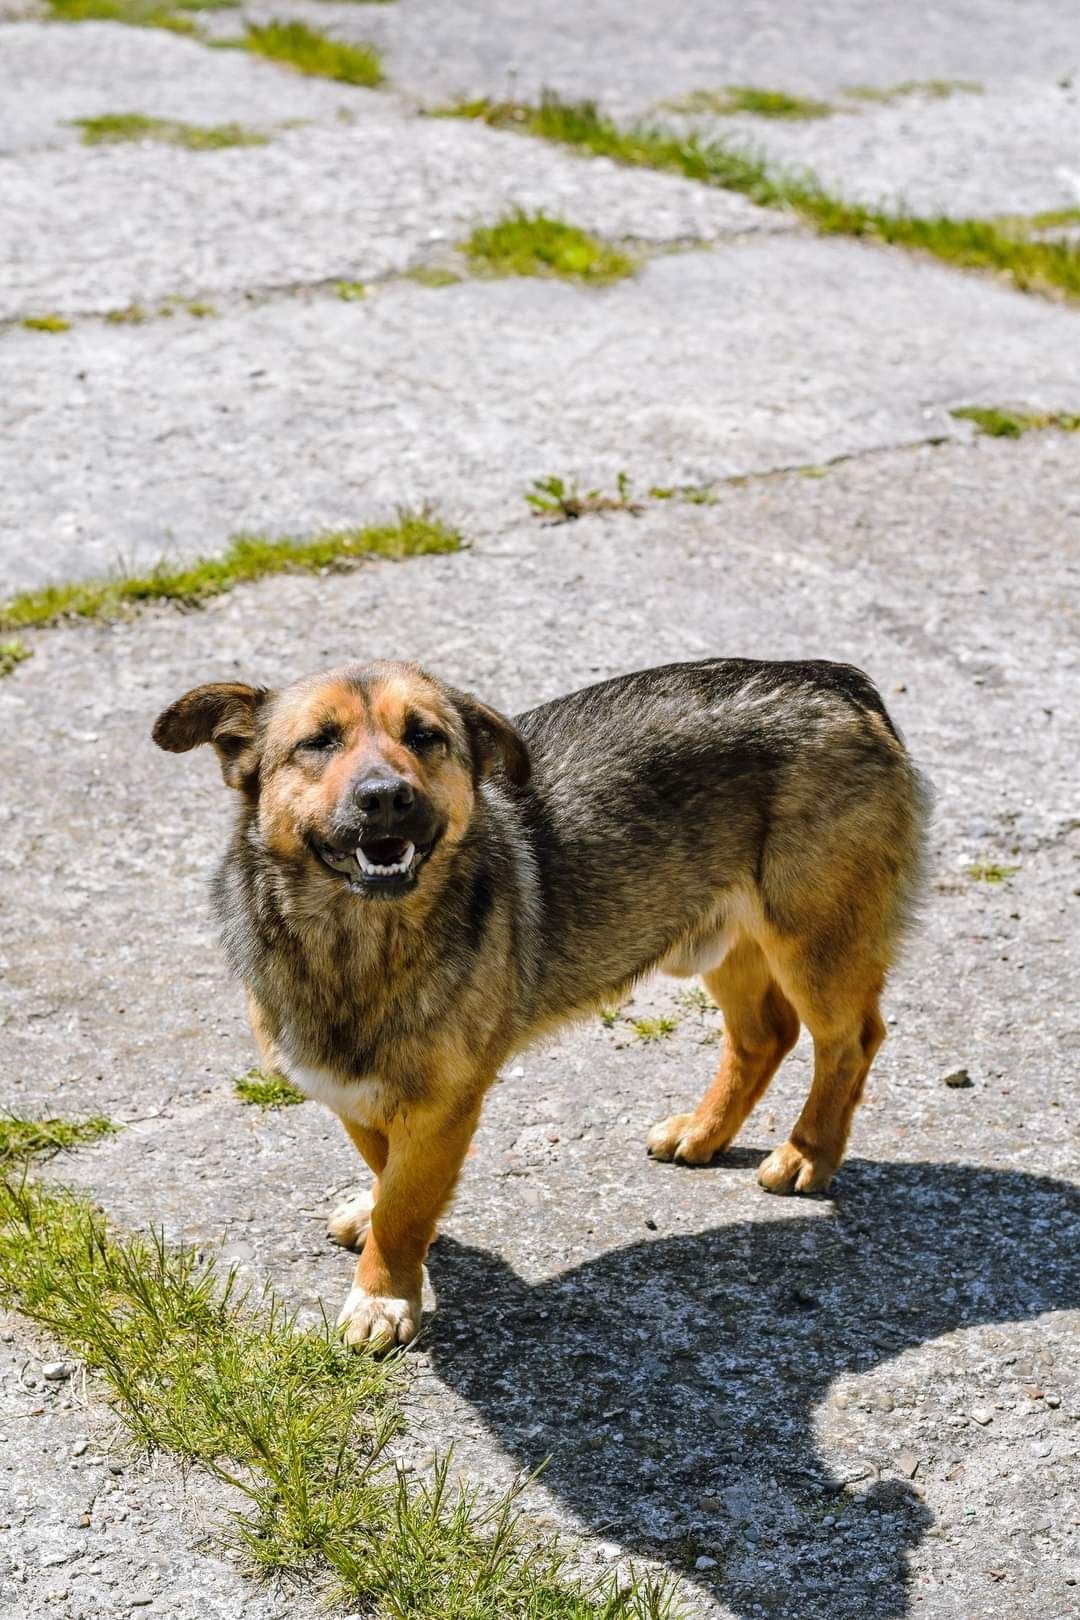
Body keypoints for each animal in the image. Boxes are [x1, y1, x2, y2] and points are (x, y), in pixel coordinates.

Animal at [152, 657, 932, 1354]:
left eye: (425, 736)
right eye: (318, 741)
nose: (386, 797)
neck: (355, 941)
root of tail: (835, 680)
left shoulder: (444, 1104)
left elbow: (405, 1203)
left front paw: (384, 1295)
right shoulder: (353, 1091)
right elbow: (387, 1170)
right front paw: (380, 1224)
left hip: (813, 940)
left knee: (850, 1040)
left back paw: (807, 1152)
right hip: (719, 939)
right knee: (765, 1034)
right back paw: (704, 1131)